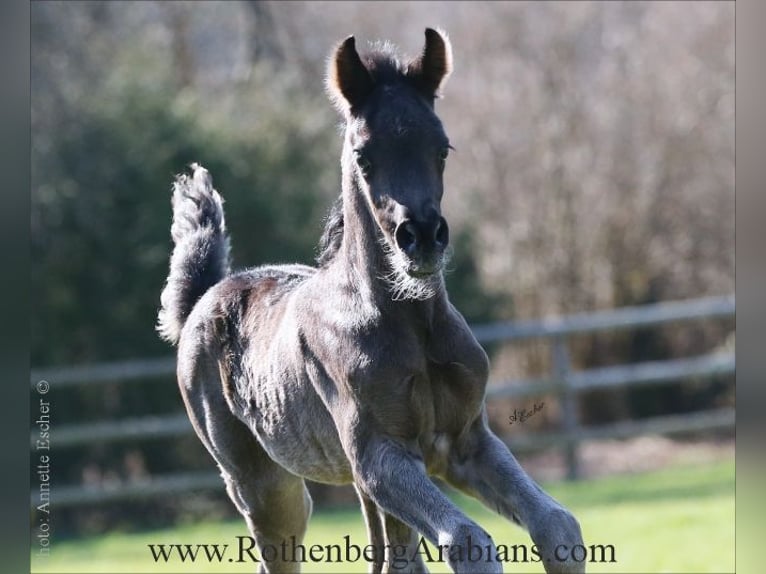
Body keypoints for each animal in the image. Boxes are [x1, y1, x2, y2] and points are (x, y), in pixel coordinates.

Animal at [157, 28, 584, 574]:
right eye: (363, 156)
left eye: (442, 149)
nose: (421, 238)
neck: (409, 322)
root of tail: (201, 301)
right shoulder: (380, 458)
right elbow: (468, 541)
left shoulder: (467, 442)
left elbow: (557, 525)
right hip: (267, 487)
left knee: (392, 559)